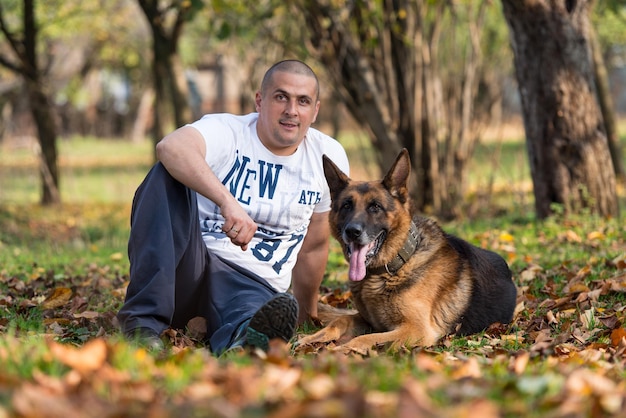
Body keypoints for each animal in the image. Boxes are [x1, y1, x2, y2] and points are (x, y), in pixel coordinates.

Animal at [298, 149, 516, 352]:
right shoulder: (367, 319)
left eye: (375, 207)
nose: (352, 232)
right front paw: (312, 338)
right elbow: (339, 321)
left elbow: (364, 339)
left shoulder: (415, 329)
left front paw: (340, 349)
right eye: (346, 205)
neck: (393, 266)